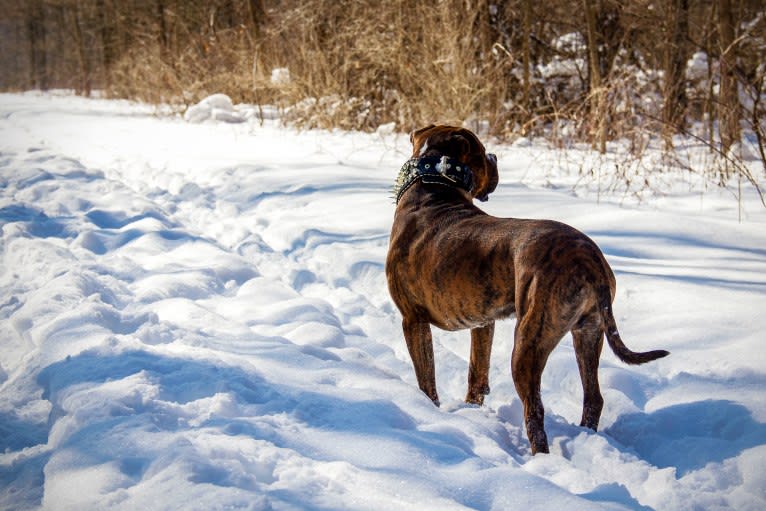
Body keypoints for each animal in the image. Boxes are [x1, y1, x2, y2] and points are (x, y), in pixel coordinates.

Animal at [388, 126, 668, 454]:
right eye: (483, 152)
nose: (495, 156)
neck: (433, 184)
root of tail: (588, 258)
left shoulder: (413, 320)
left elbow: (426, 379)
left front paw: (430, 409)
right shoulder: (483, 324)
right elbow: (477, 372)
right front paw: (472, 410)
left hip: (528, 341)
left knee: (534, 410)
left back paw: (542, 457)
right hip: (588, 333)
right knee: (593, 398)